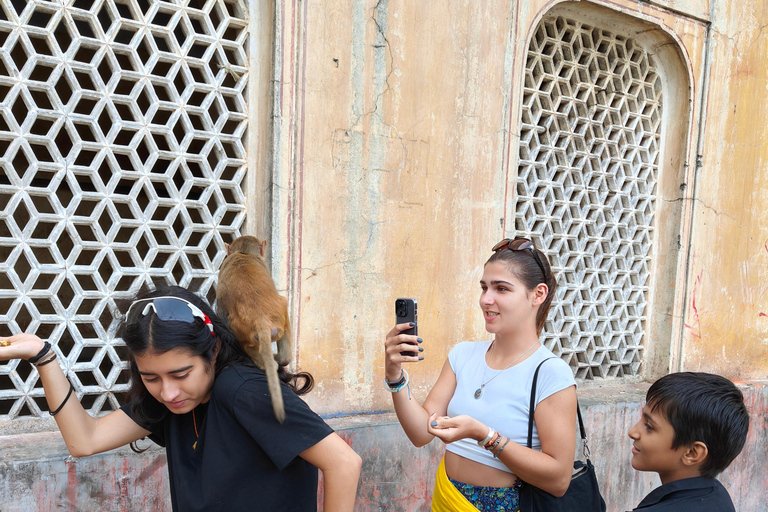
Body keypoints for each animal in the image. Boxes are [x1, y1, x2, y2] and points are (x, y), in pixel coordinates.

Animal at [218, 234, 292, 422]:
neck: (244, 253)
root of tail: (261, 318)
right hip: (279, 315)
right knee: (284, 303)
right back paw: (280, 360)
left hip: (242, 330)